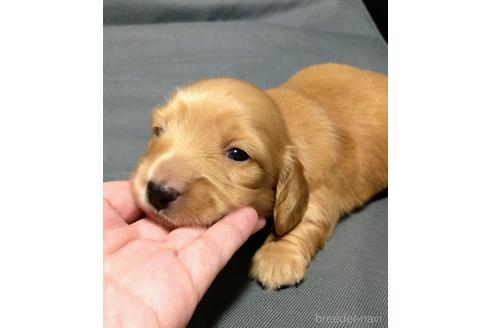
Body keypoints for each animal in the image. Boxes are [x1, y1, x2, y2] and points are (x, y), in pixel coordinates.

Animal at [132, 64, 388, 290]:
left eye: (238, 154)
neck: (288, 129)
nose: (157, 192)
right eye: (159, 131)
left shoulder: (320, 191)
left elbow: (303, 222)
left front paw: (277, 257)